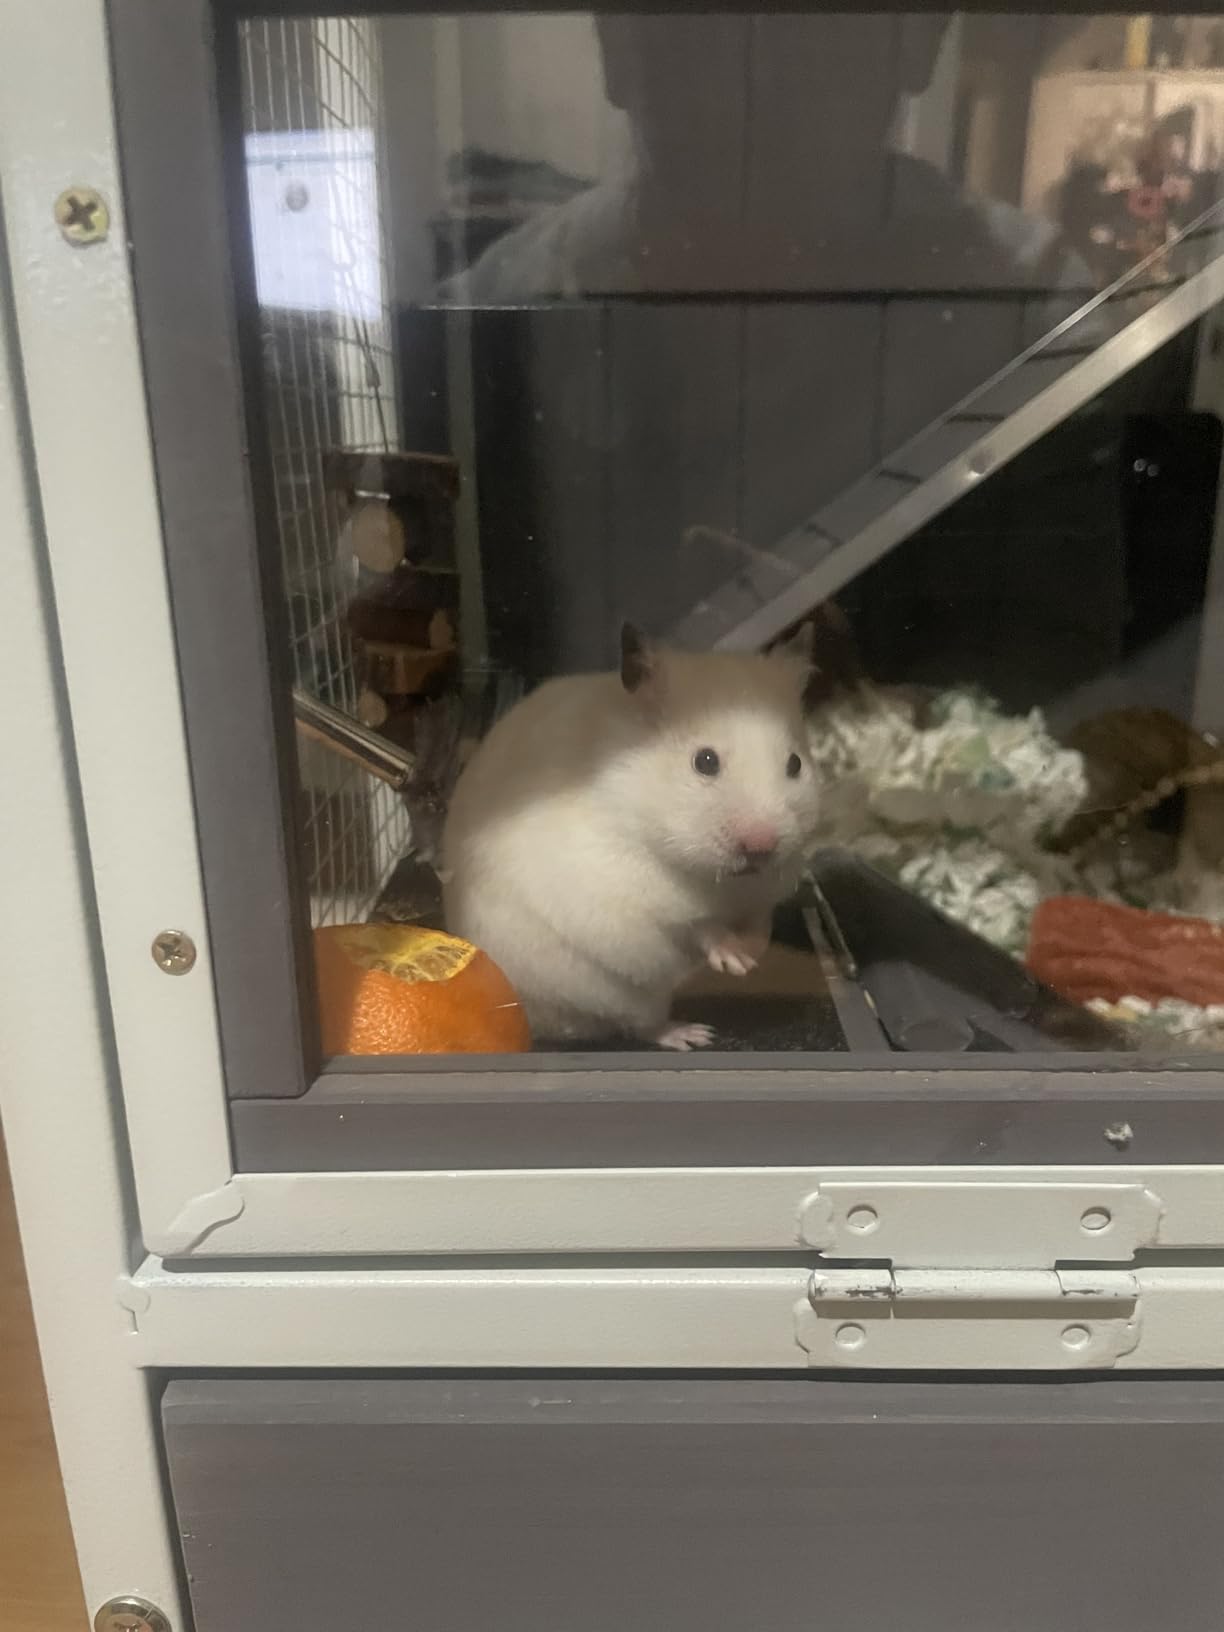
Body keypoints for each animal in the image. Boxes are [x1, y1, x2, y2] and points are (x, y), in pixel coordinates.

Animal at [441, 623, 822, 1049]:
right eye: (705, 761)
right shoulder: (638, 893)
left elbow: (761, 921)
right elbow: (697, 924)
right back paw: (692, 1035)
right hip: (611, 992)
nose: (761, 847)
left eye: (796, 763)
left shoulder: (763, 892)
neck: (720, 880)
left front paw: (751, 956)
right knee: (641, 1024)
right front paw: (734, 961)